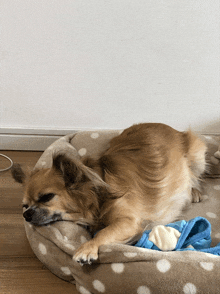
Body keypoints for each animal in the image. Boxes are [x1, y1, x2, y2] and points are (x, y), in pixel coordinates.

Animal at [11, 123, 207, 266]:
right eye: (25, 205)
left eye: (47, 197)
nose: (26, 215)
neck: (98, 196)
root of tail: (175, 130)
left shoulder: (128, 222)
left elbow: (103, 233)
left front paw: (87, 248)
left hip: (197, 155)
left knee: (195, 177)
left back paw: (194, 190)